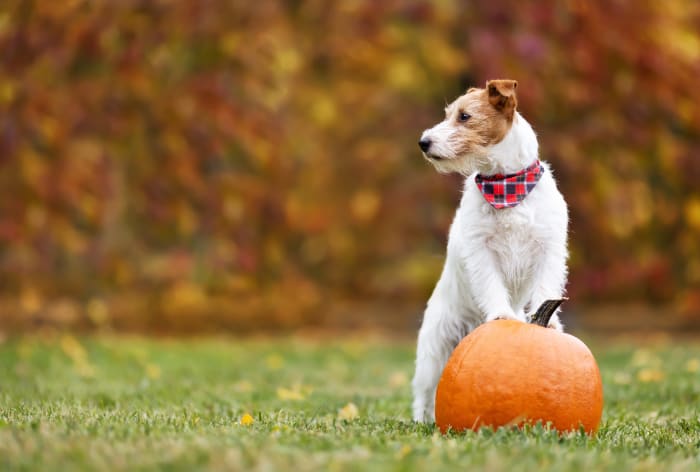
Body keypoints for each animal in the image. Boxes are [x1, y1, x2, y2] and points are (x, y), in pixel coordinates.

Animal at [410, 79, 568, 422]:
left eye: (465, 116)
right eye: (449, 114)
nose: (423, 142)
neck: (506, 184)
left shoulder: (549, 248)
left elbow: (546, 287)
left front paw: (548, 323)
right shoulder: (481, 251)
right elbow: (492, 285)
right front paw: (500, 315)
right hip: (434, 349)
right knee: (424, 393)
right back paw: (422, 421)